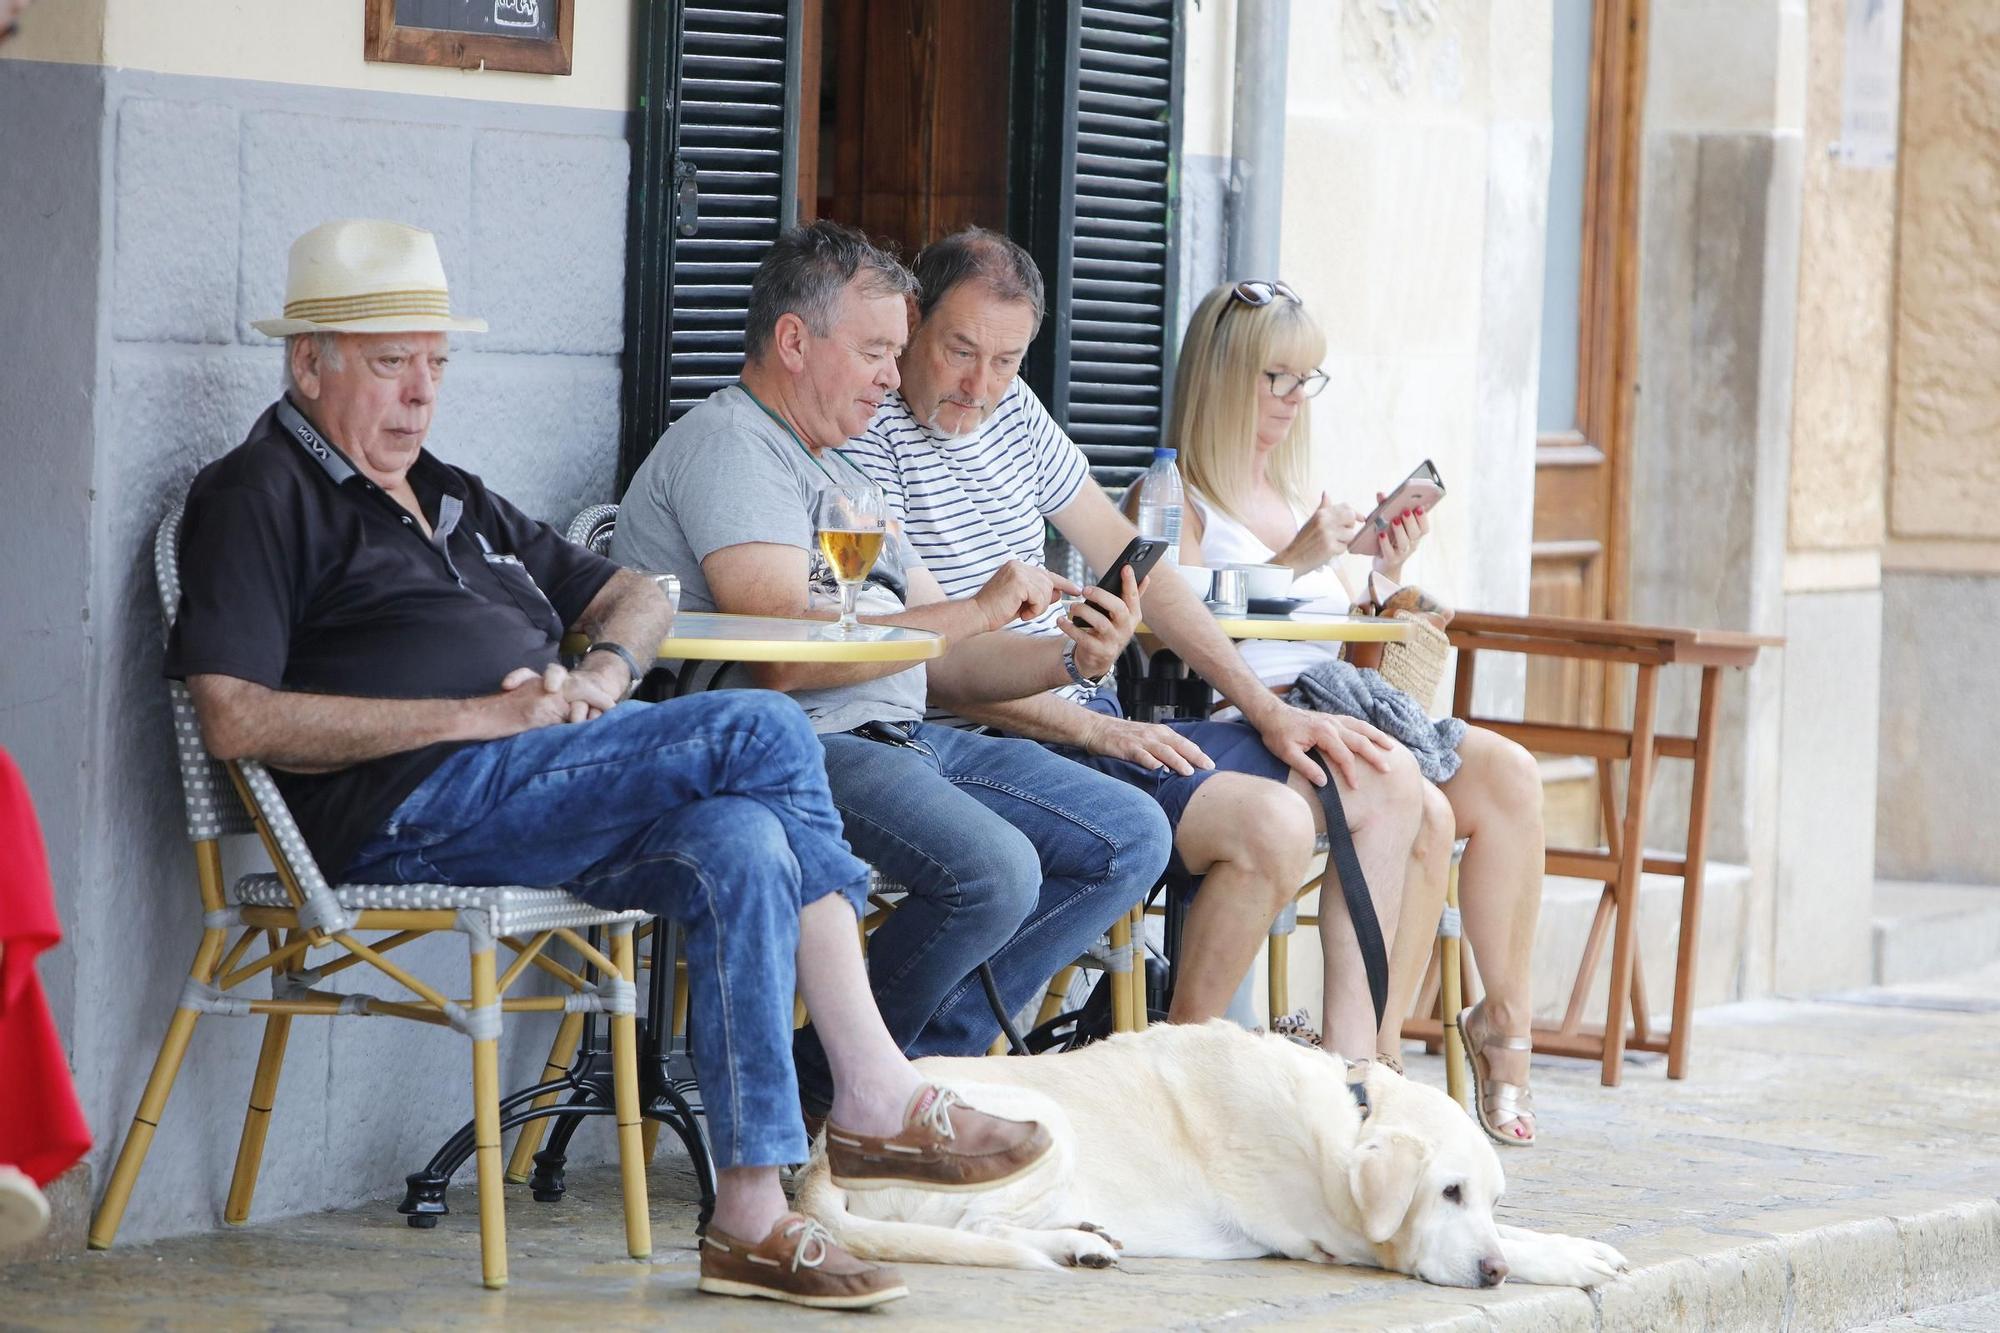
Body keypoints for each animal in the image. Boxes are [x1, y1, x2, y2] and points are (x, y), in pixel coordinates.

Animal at [796, 1020, 1624, 1280]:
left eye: (1484, 1195)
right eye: (1447, 1192)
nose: (1492, 1275)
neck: (1352, 1115)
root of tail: (821, 1153)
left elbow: (1519, 1232)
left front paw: (1575, 1247)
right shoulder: (1353, 1240)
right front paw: (1560, 1260)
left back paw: (1084, 1238)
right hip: (1039, 1128)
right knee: (981, 1229)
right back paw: (1071, 1242)